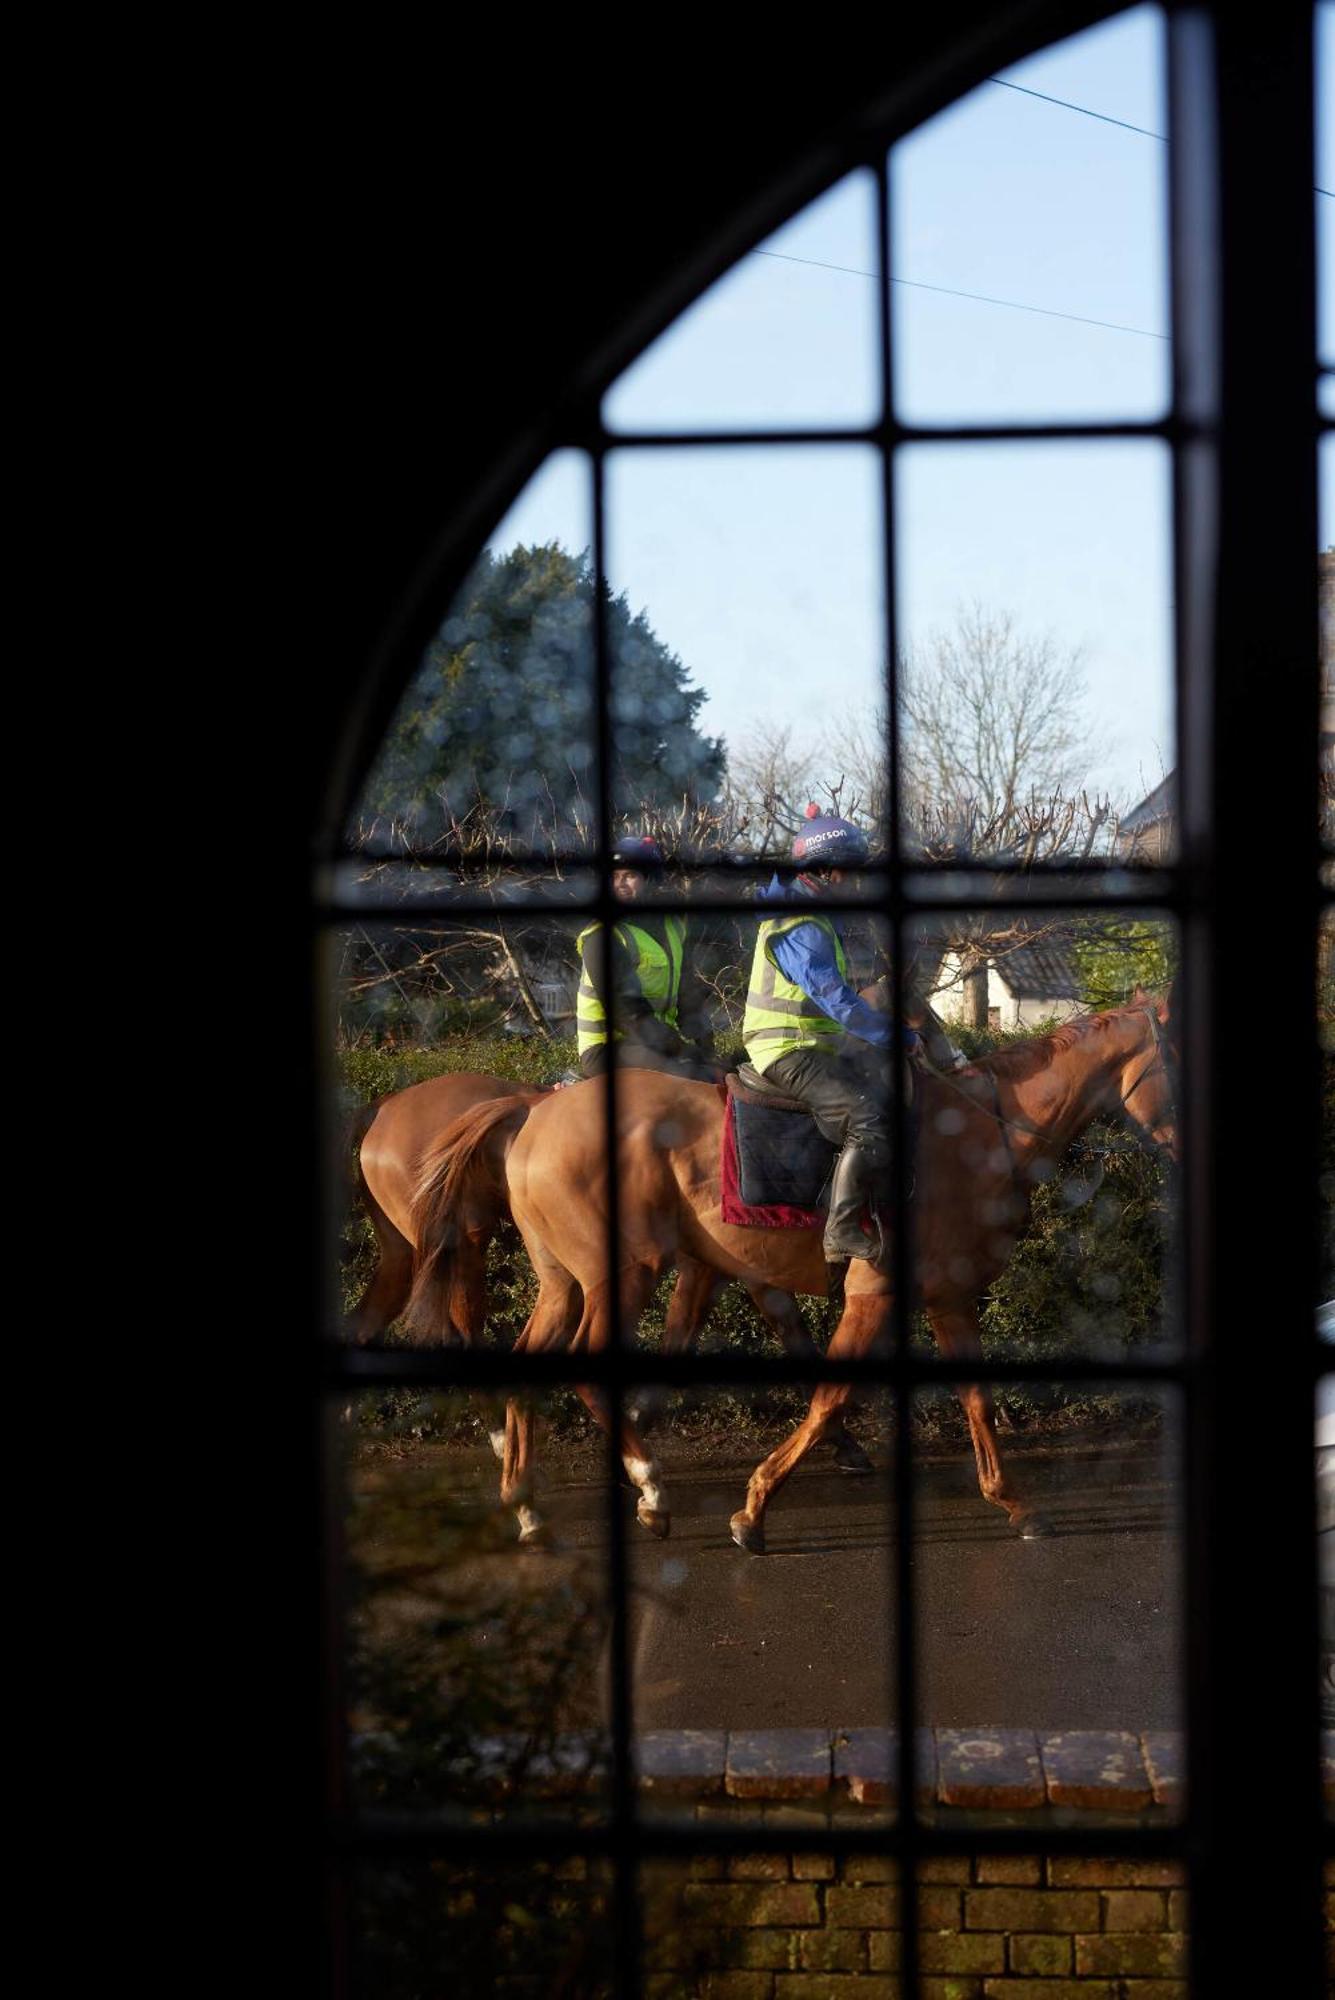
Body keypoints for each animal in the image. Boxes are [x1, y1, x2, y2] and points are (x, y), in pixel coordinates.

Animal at [407, 996, 1175, 1544]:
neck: (983, 1131)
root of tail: (532, 1112)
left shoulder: (947, 1296)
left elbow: (976, 1399)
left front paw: (1014, 1502)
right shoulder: (873, 1291)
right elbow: (829, 1396)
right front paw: (752, 1507)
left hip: (564, 1283)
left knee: (530, 1364)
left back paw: (527, 1504)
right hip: (623, 1273)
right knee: (590, 1370)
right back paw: (648, 1487)